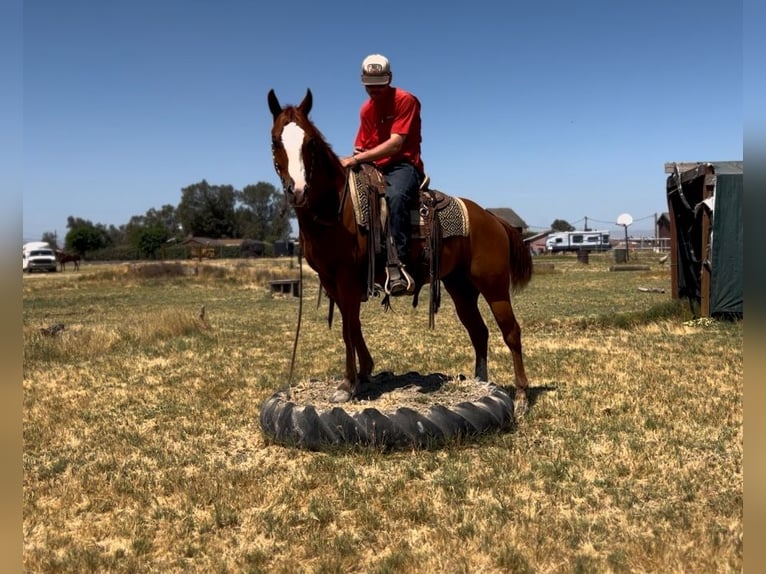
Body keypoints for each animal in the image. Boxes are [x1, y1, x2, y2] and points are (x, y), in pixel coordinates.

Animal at [268, 89, 533, 412]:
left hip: (494, 286)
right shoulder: (330, 280)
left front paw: (347, 385)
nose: (297, 190)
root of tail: (492, 218)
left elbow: (347, 328)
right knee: (478, 330)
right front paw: (364, 373)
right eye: (275, 140)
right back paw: (480, 382)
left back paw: (521, 397)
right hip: (460, 287)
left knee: (511, 332)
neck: (337, 208)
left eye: (311, 143)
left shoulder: (346, 278)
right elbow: (352, 325)